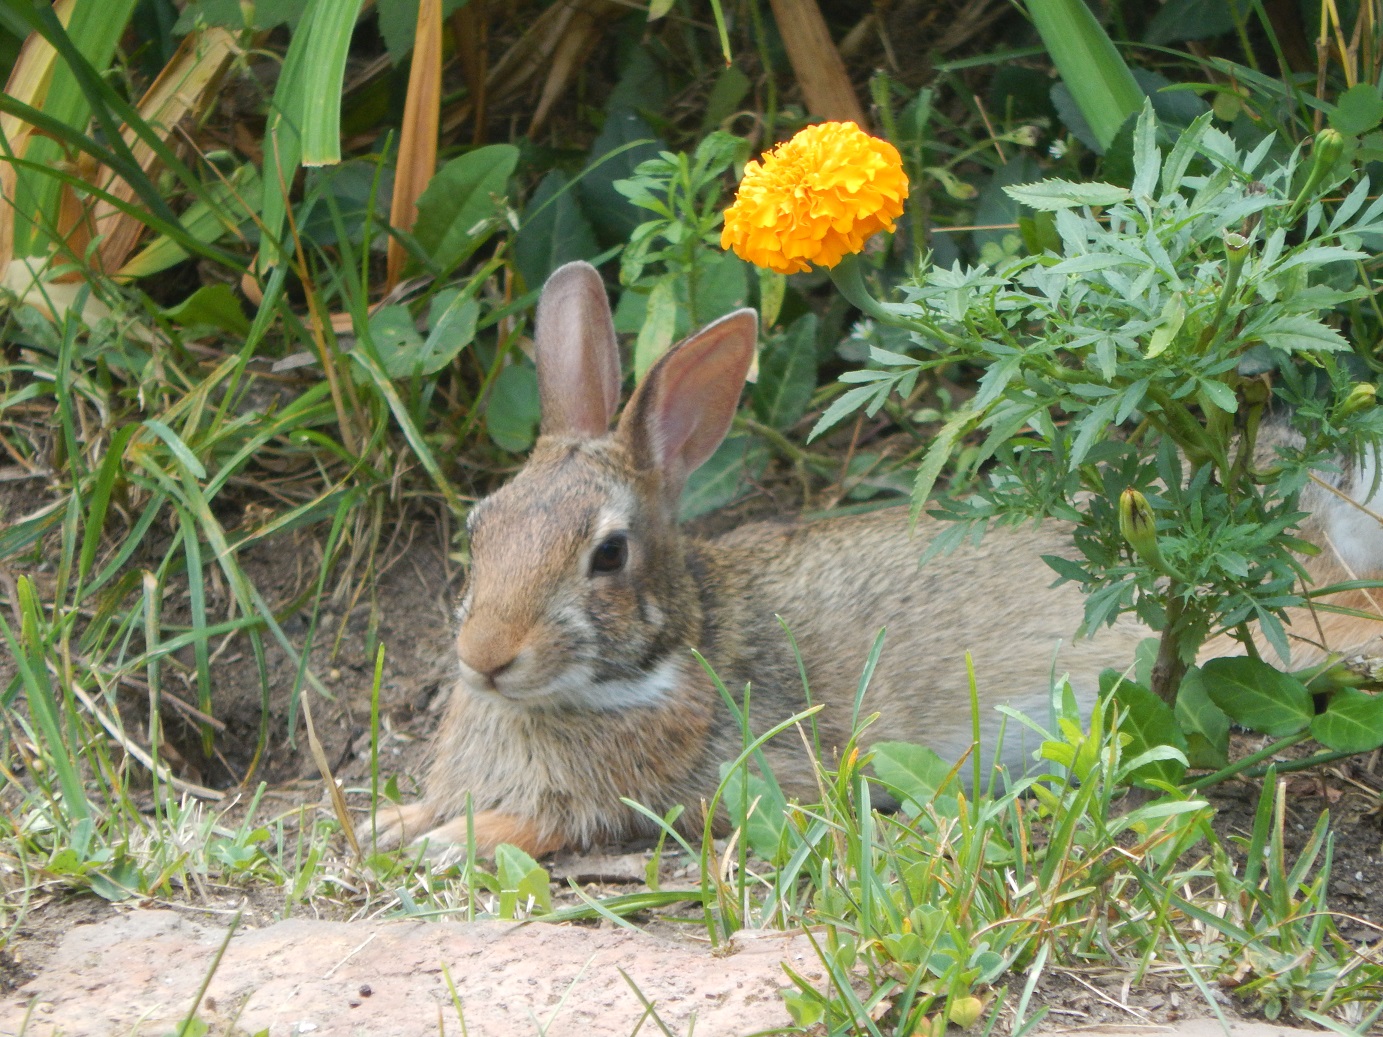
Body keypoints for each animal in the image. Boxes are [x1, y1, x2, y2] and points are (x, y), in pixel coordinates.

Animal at [365, 261, 1383, 862]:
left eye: (607, 554)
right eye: (480, 527)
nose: (484, 657)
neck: (670, 653)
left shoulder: (702, 784)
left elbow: (568, 818)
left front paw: (454, 839)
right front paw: (392, 822)